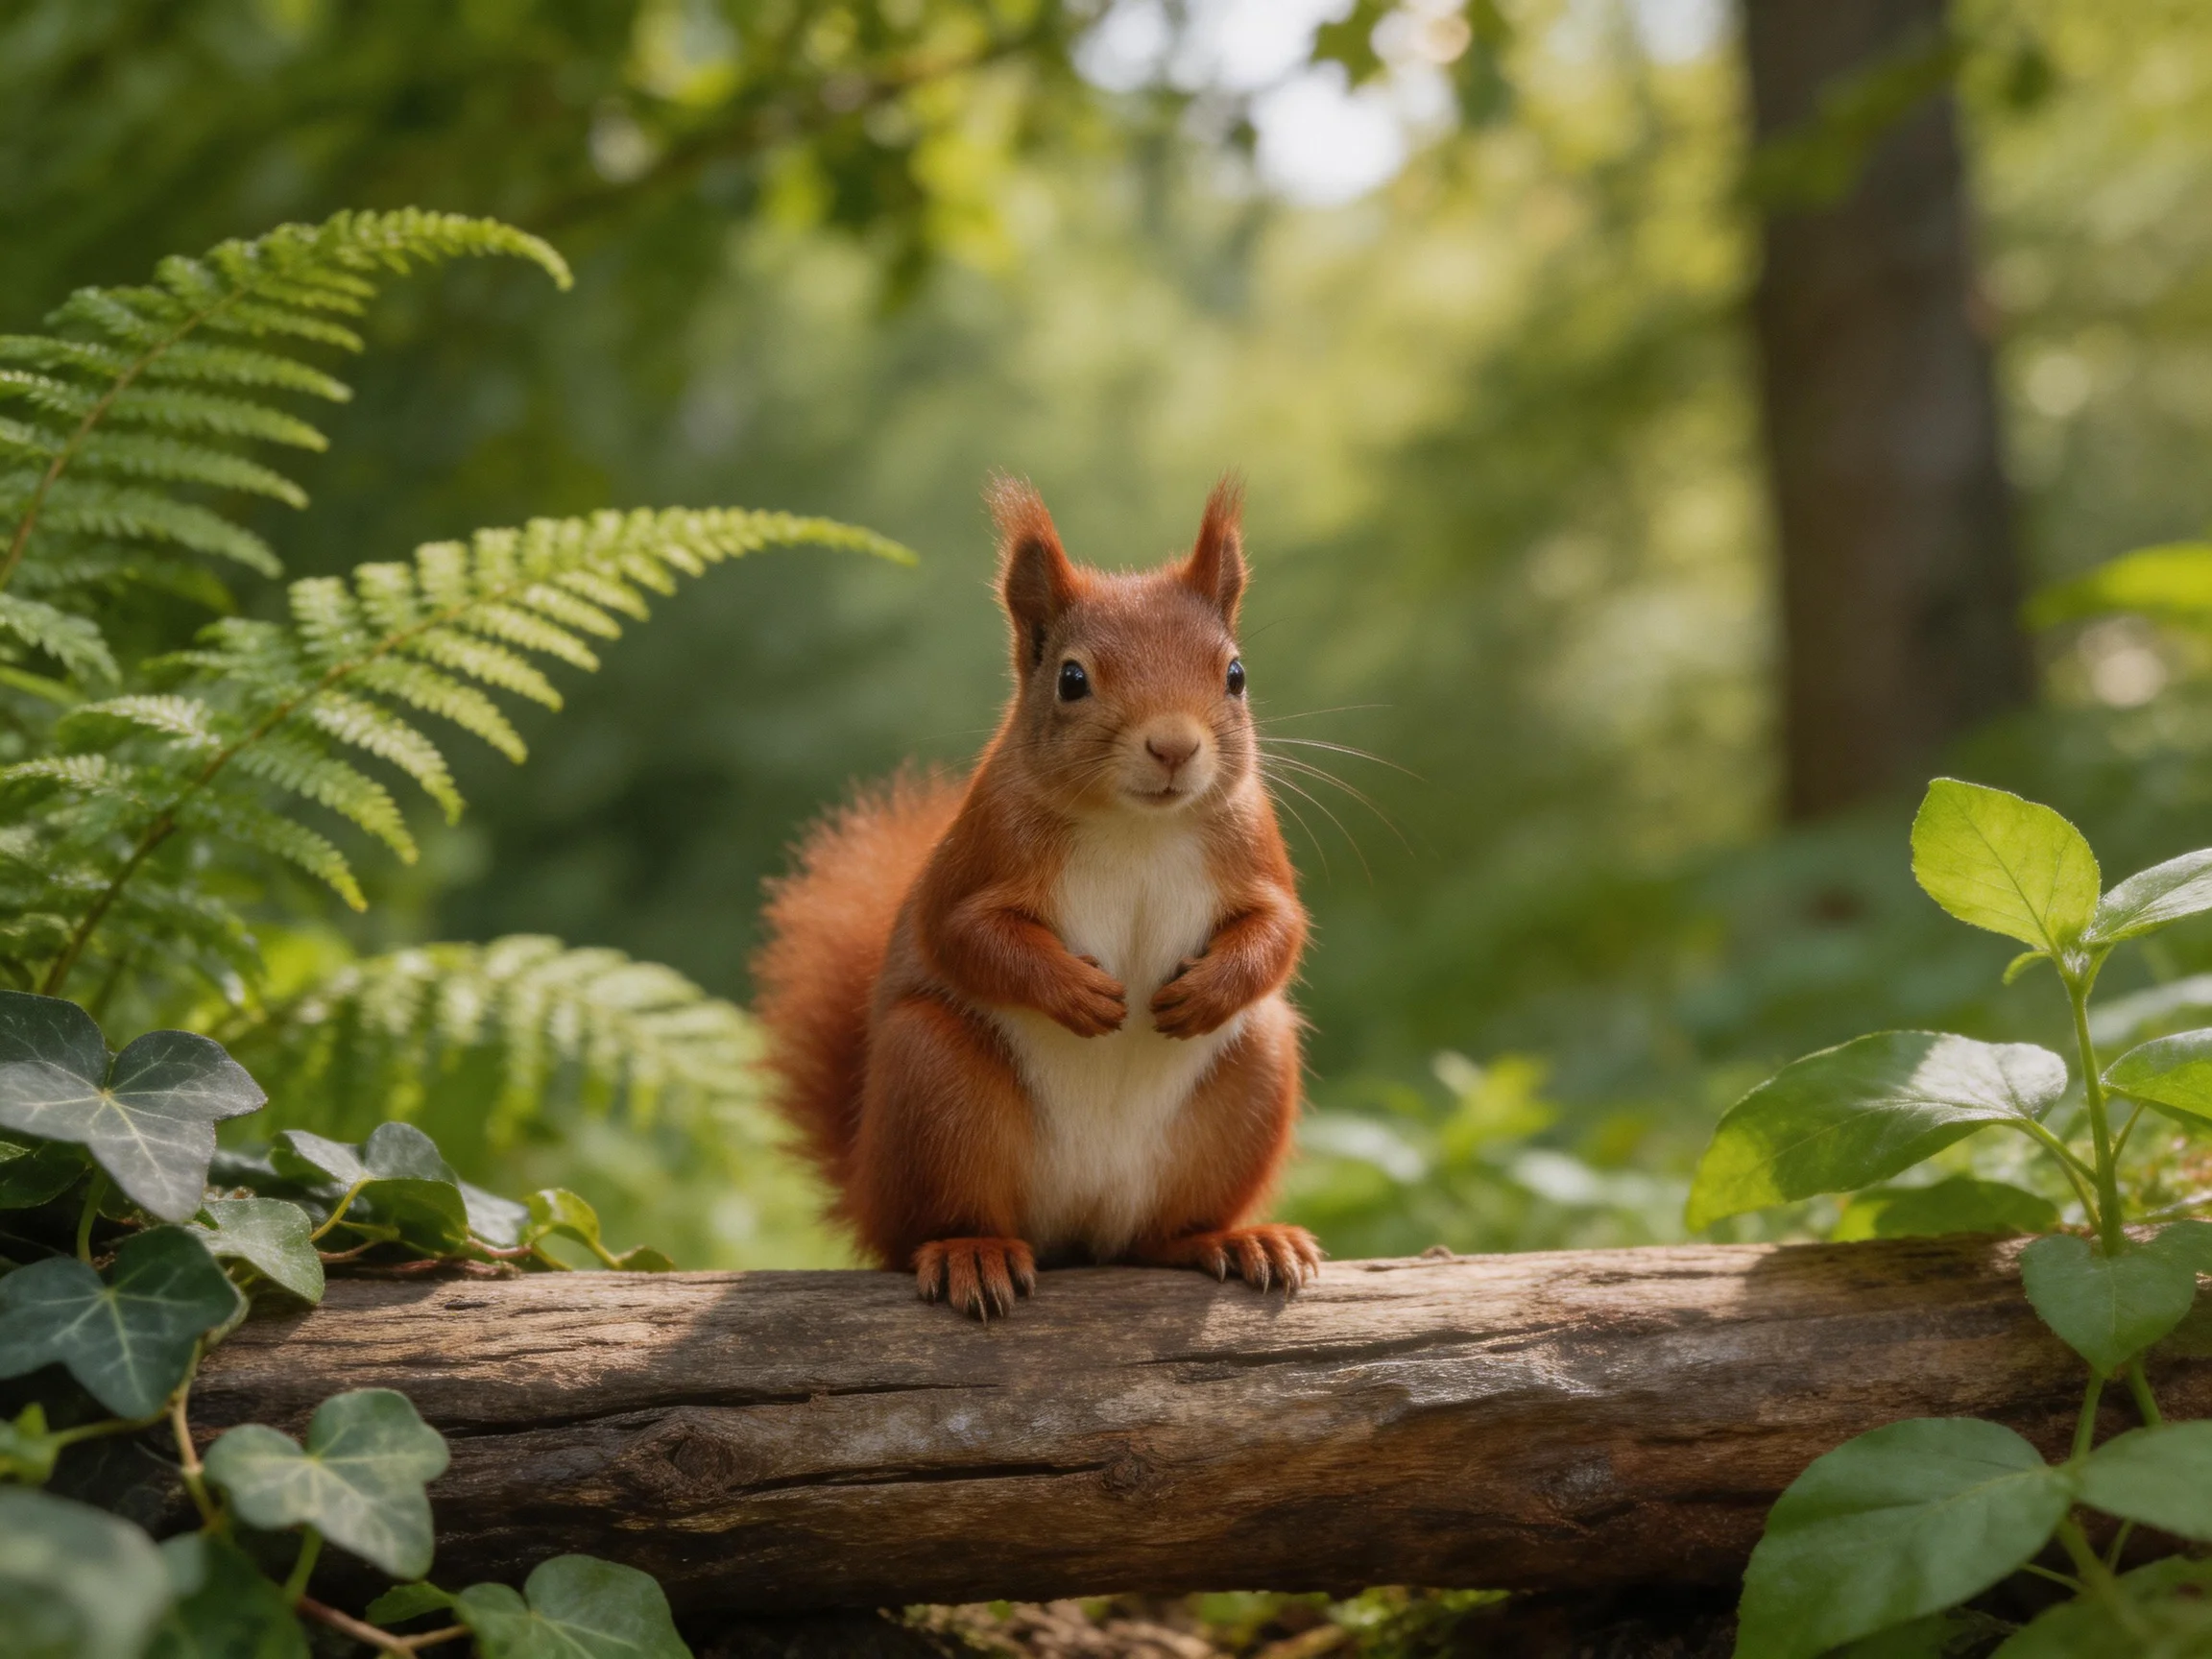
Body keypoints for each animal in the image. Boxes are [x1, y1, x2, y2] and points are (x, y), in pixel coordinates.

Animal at [752, 475, 1318, 1318]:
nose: (1174, 746)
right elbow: (965, 934)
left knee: (1163, 1233)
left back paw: (1232, 1239)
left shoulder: (1252, 843)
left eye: (1236, 674)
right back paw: (971, 1251)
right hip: (935, 1082)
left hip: (1253, 1078)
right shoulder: (981, 852)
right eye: (1072, 679)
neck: (1137, 827)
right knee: (927, 1226)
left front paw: (1211, 990)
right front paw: (1075, 993)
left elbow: (1279, 927)